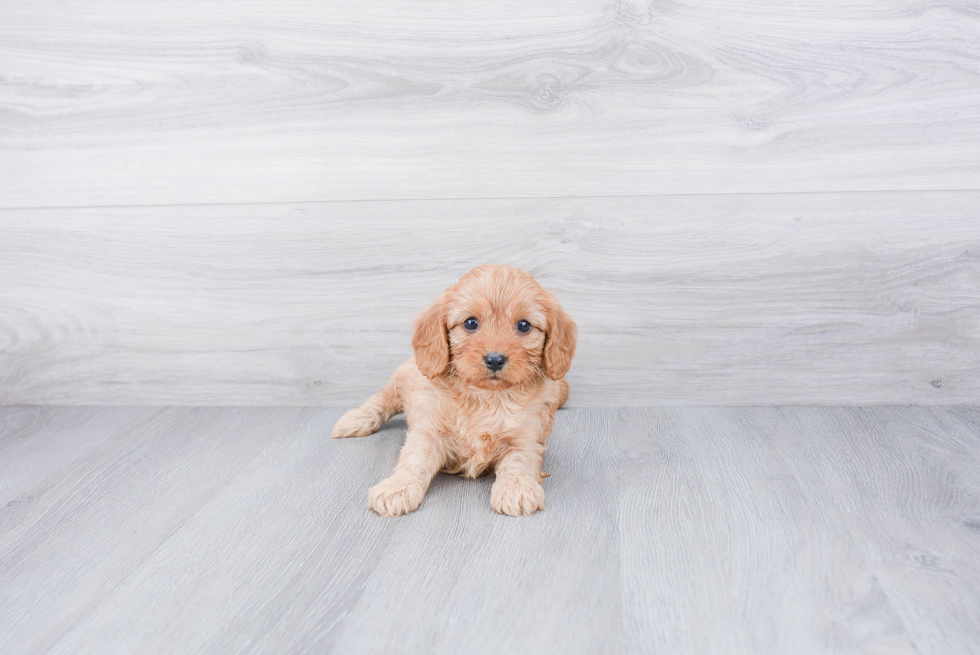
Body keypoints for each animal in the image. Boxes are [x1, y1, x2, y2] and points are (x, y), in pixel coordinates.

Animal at [332, 266, 576, 516]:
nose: (495, 360)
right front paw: (398, 488)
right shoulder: (429, 431)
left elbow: (519, 461)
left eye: (524, 325)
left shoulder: (526, 436)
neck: (488, 396)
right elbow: (414, 460)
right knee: (381, 399)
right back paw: (355, 420)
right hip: (401, 378)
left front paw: (516, 489)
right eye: (470, 323)